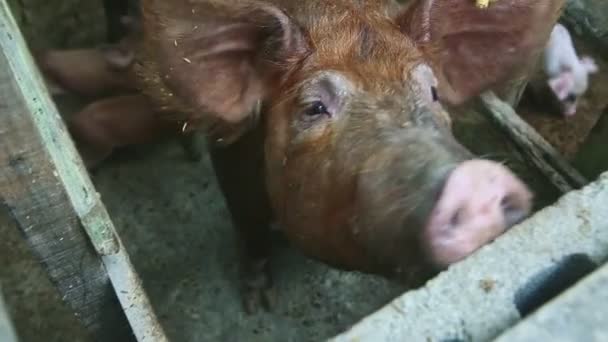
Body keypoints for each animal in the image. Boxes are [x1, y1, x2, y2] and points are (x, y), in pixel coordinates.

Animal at [134, 0, 564, 312]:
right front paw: (258, 305)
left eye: (433, 91)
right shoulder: (231, 162)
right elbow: (250, 230)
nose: (478, 178)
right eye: (314, 108)